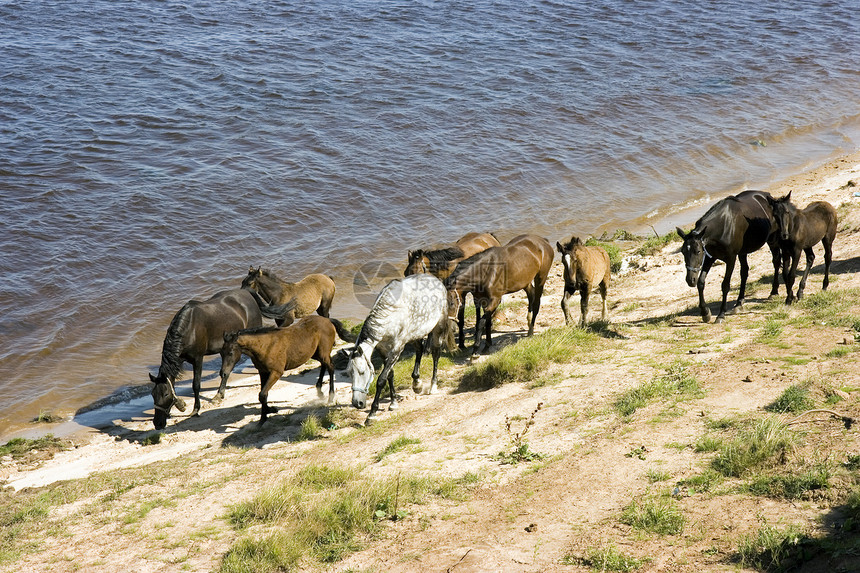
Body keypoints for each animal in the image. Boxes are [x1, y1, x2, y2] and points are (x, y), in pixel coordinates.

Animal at [149, 286, 294, 428]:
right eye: (153, 394)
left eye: (165, 394)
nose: (158, 424)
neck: (189, 328)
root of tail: (246, 291)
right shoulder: (179, 360)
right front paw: (181, 405)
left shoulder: (198, 359)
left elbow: (196, 384)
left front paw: (195, 410)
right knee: (225, 371)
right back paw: (219, 394)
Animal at [223, 316, 358, 422]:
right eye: (221, 352)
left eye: (230, 352)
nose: (223, 373)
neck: (265, 346)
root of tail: (328, 320)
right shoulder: (263, 372)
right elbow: (263, 394)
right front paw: (263, 417)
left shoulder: (276, 372)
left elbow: (262, 394)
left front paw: (271, 410)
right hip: (316, 353)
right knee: (324, 365)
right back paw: (319, 390)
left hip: (323, 352)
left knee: (330, 367)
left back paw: (330, 396)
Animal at [346, 272, 450, 424]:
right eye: (349, 373)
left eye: (362, 371)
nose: (357, 403)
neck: (389, 316)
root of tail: (436, 280)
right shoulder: (384, 351)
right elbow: (390, 375)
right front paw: (393, 403)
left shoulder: (396, 350)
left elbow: (381, 380)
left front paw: (372, 414)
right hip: (415, 334)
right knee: (419, 349)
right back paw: (417, 384)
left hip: (438, 327)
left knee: (436, 354)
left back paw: (433, 386)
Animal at [676, 189, 784, 320]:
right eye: (683, 252)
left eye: (698, 251)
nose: (690, 280)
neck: (723, 226)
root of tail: (767, 195)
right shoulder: (710, 257)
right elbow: (701, 283)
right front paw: (705, 312)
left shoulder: (731, 259)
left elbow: (725, 285)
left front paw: (721, 314)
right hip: (743, 252)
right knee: (744, 272)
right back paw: (739, 303)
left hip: (772, 240)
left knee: (776, 262)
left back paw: (774, 292)